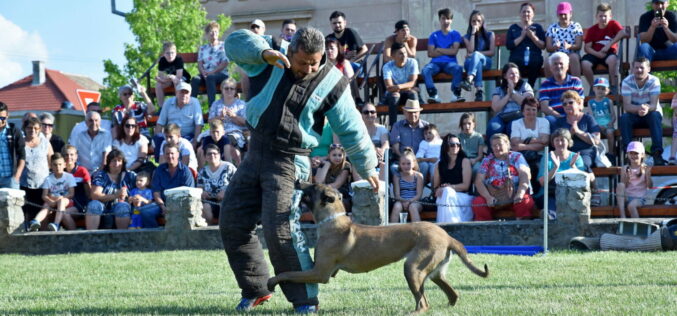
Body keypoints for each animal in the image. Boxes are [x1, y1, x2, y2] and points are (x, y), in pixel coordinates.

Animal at [266, 181, 488, 312]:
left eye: (312, 186)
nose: (297, 181)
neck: (332, 220)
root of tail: (447, 236)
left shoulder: (320, 272)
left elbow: (288, 273)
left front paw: (272, 281)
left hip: (412, 268)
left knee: (424, 303)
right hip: (433, 272)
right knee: (451, 294)